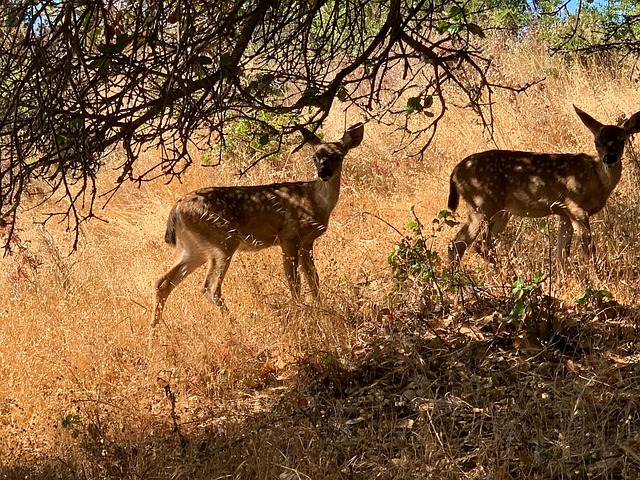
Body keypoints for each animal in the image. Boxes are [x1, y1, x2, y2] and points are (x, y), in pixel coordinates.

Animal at [151, 122, 364, 333]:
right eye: (314, 157)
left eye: (339, 156)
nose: (323, 173)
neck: (314, 200)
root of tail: (176, 210)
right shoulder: (289, 236)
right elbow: (294, 281)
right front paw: (303, 313)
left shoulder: (306, 242)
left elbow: (314, 279)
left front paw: (322, 310)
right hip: (224, 240)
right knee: (209, 288)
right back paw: (235, 325)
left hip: (196, 248)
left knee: (164, 282)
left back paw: (154, 332)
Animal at [448, 105, 640, 266]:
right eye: (596, 142)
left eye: (622, 141)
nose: (609, 158)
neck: (597, 180)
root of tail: (455, 173)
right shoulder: (576, 207)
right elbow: (589, 248)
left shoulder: (564, 212)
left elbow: (561, 253)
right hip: (481, 204)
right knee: (459, 244)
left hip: (501, 211)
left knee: (483, 244)